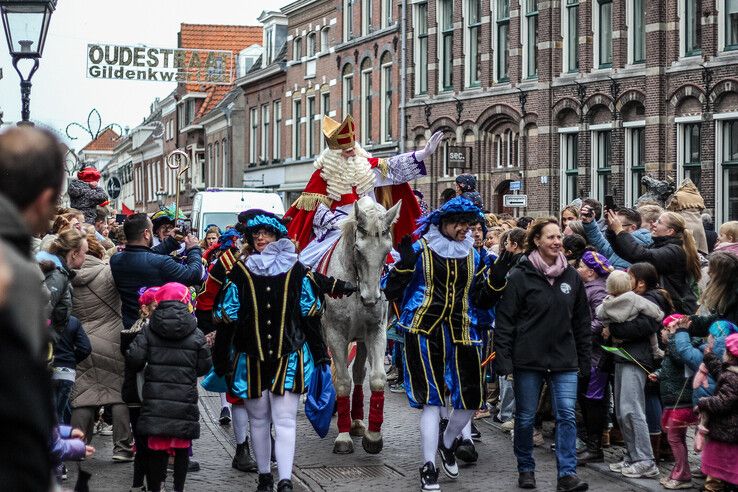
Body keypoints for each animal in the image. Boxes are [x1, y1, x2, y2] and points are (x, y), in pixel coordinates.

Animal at [322, 195, 400, 454]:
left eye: (387, 249)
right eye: (358, 249)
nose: (371, 299)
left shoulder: (375, 331)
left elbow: (375, 378)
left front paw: (372, 436)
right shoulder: (335, 334)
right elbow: (342, 381)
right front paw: (343, 438)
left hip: (361, 340)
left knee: (358, 373)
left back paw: (356, 421)